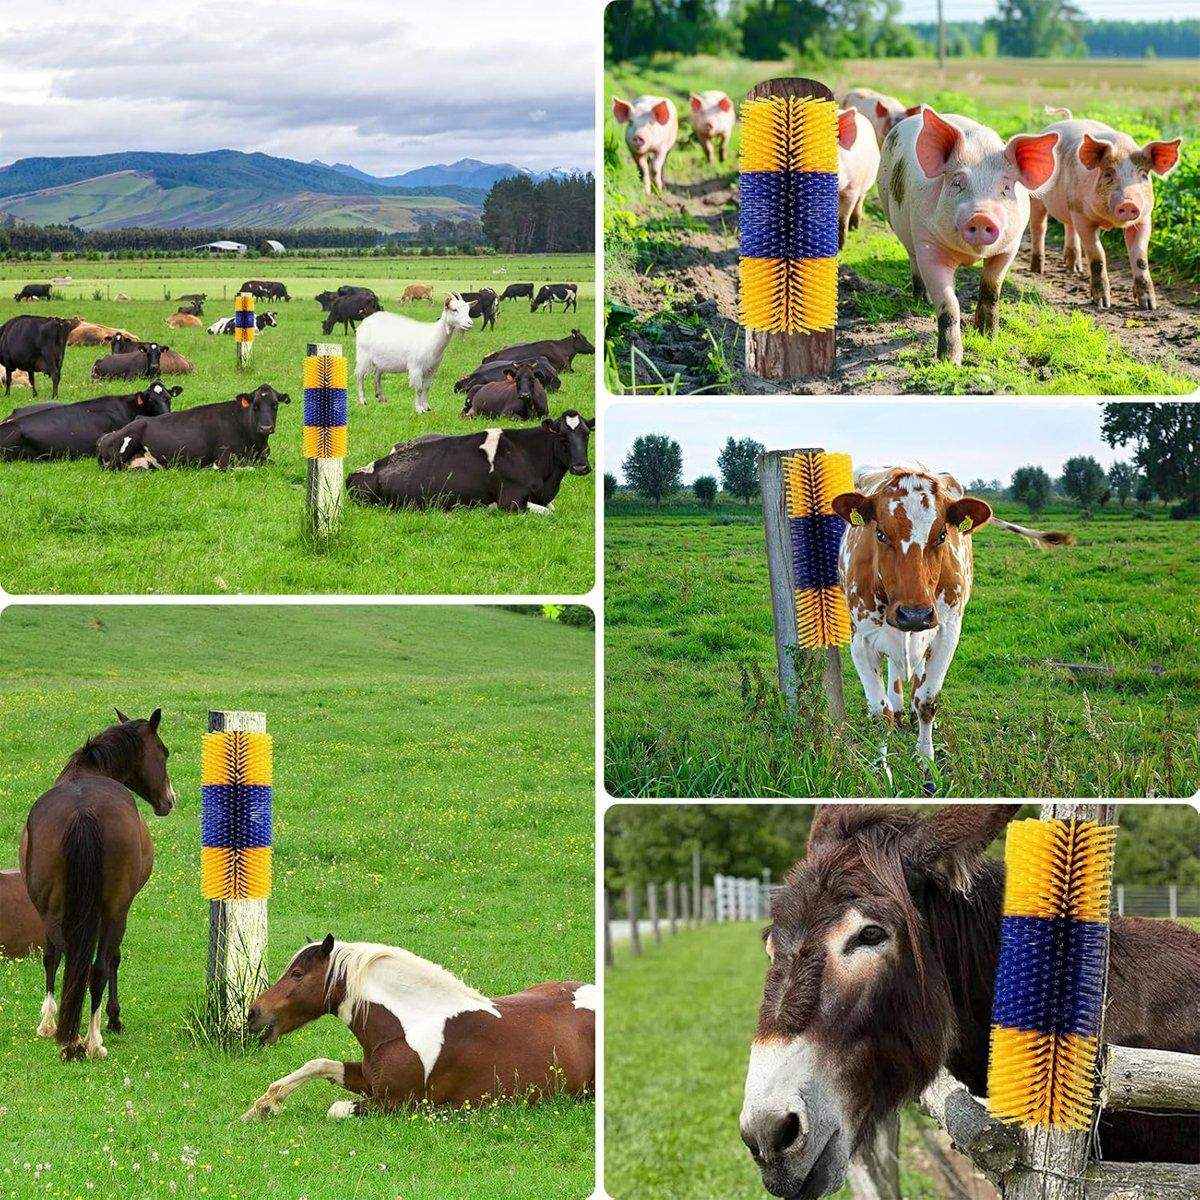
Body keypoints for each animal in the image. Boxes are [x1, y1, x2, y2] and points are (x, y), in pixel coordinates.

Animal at [20, 710, 175, 1061]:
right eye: (163, 752)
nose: (169, 801)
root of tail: (83, 811)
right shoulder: (120, 908)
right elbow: (113, 959)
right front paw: (115, 1018)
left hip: (50, 906)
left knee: (55, 955)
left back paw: (52, 1026)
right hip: (114, 909)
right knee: (100, 966)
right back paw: (93, 1039)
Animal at [241, 934, 595, 1121]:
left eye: (297, 974)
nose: (253, 1013)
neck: (406, 1025)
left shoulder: (395, 1104)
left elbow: (336, 1108)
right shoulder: (368, 1079)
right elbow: (319, 1065)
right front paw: (262, 1106)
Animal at [347, 411, 594, 514]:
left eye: (586, 434)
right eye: (562, 436)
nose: (581, 467)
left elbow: (552, 508)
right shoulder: (510, 502)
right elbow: (549, 513)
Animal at [831, 466, 1073, 764]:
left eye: (942, 536)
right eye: (880, 534)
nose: (914, 614)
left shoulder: (947, 632)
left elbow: (927, 701)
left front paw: (926, 759)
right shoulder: (861, 640)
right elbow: (879, 712)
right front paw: (880, 765)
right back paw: (899, 711)